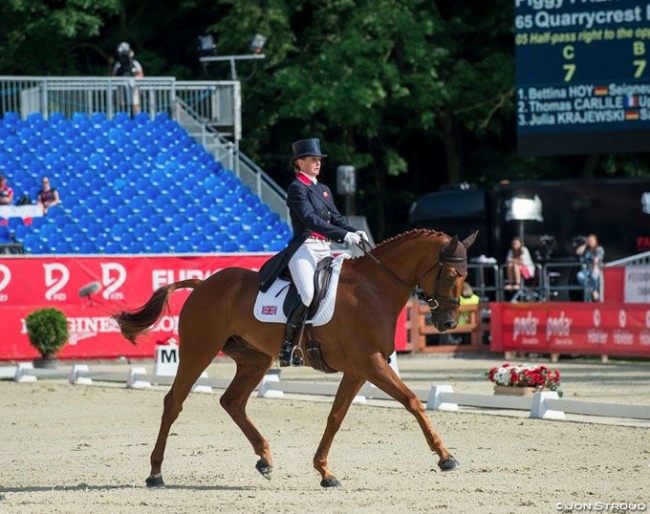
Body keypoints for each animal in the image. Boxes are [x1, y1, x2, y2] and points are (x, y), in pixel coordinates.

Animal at [111, 228, 476, 484]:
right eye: (451, 275)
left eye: (466, 276)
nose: (447, 324)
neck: (373, 289)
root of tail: (203, 284)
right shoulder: (370, 364)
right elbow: (412, 401)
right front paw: (446, 457)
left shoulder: (359, 370)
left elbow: (335, 417)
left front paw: (324, 471)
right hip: (198, 350)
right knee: (174, 401)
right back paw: (155, 473)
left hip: (255, 359)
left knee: (232, 402)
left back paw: (264, 459)